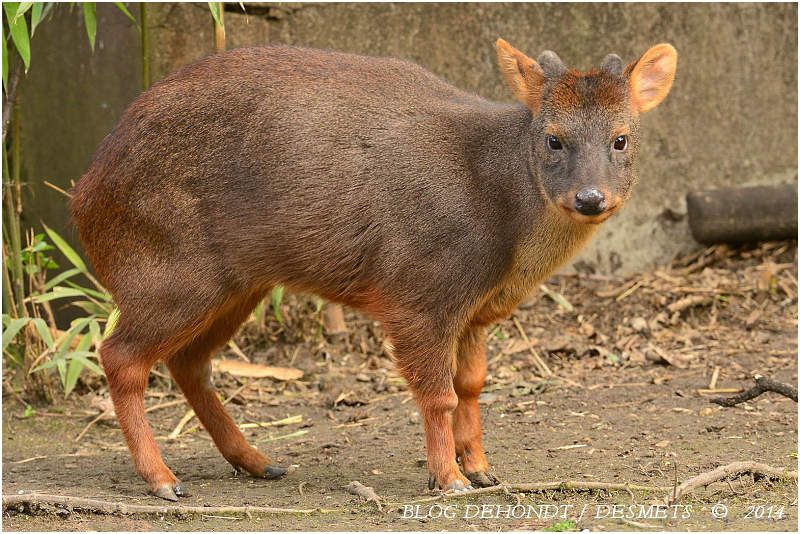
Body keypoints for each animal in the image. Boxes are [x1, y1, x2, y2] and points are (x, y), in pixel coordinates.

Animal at [72, 38, 680, 502]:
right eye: (553, 137)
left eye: (621, 138)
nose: (590, 198)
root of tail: (84, 196)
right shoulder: (420, 291)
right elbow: (438, 394)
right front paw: (449, 478)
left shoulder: (475, 312)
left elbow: (473, 384)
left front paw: (482, 468)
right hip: (171, 272)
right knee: (121, 355)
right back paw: (163, 479)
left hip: (237, 283)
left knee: (188, 362)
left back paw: (258, 461)